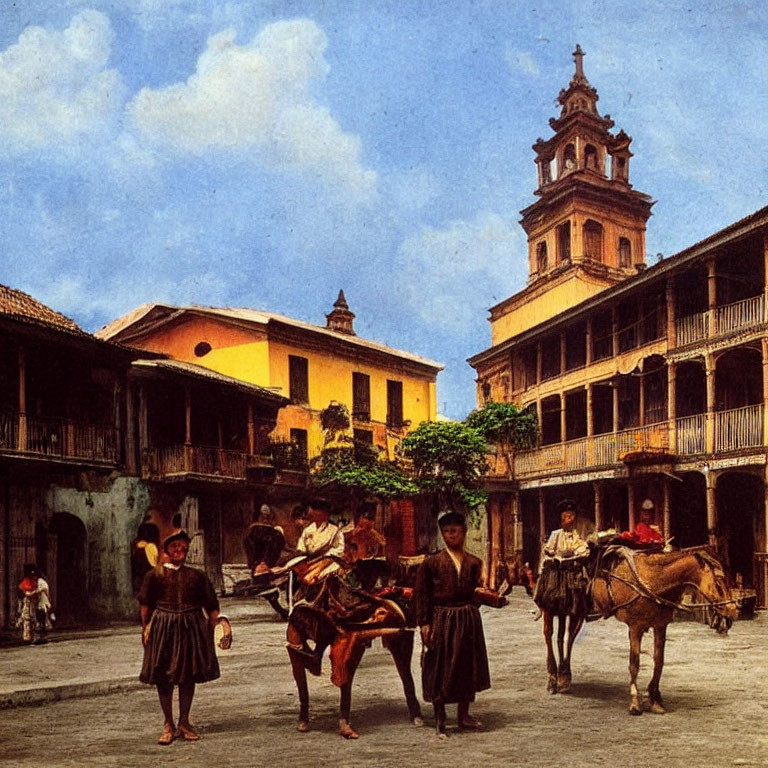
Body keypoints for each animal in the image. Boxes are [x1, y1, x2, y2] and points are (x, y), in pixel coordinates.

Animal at [536, 544, 740, 712]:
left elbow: (659, 661)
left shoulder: (660, 626)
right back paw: (552, 679)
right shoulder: (635, 627)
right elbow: (634, 663)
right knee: (549, 635)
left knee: (568, 637)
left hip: (574, 612)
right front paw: (635, 701)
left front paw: (655, 698)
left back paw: (564, 676)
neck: (652, 581)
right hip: (549, 609)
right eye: (719, 582)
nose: (732, 610)